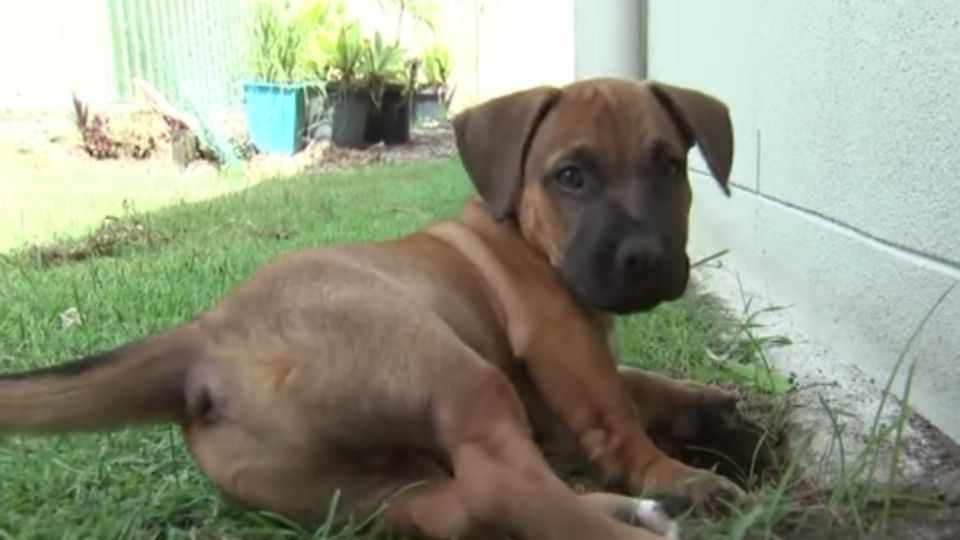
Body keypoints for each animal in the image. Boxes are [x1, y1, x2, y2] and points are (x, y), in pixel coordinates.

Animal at [0, 78, 752, 536]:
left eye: (670, 166)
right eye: (571, 176)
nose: (646, 257)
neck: (525, 237)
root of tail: (200, 339)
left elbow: (640, 380)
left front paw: (705, 407)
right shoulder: (559, 338)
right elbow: (617, 412)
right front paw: (679, 472)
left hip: (371, 490)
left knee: (471, 506)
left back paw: (627, 512)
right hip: (449, 366)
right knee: (510, 486)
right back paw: (637, 514)